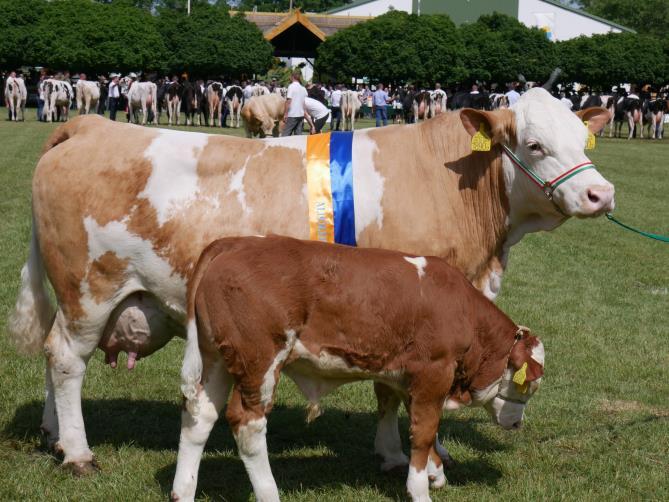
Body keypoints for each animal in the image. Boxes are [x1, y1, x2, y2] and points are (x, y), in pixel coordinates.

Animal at [7, 87, 612, 474]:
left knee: (54, 357)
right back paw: (78, 452)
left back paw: (53, 435)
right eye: (534, 144)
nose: (600, 194)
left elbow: (388, 392)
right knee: (66, 359)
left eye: (582, 140)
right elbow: (398, 393)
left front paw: (393, 453)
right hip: (89, 289)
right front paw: (422, 462)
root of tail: (91, 125)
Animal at [172, 235, 544, 502]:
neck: (462, 308)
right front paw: (420, 489)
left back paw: (183, 492)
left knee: (198, 417)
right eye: (531, 383)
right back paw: (269, 494)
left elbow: (417, 421)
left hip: (217, 359)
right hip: (259, 362)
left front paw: (435, 473)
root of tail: (235, 242)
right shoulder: (434, 371)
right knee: (248, 425)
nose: (517, 423)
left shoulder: (406, 376)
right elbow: (424, 431)